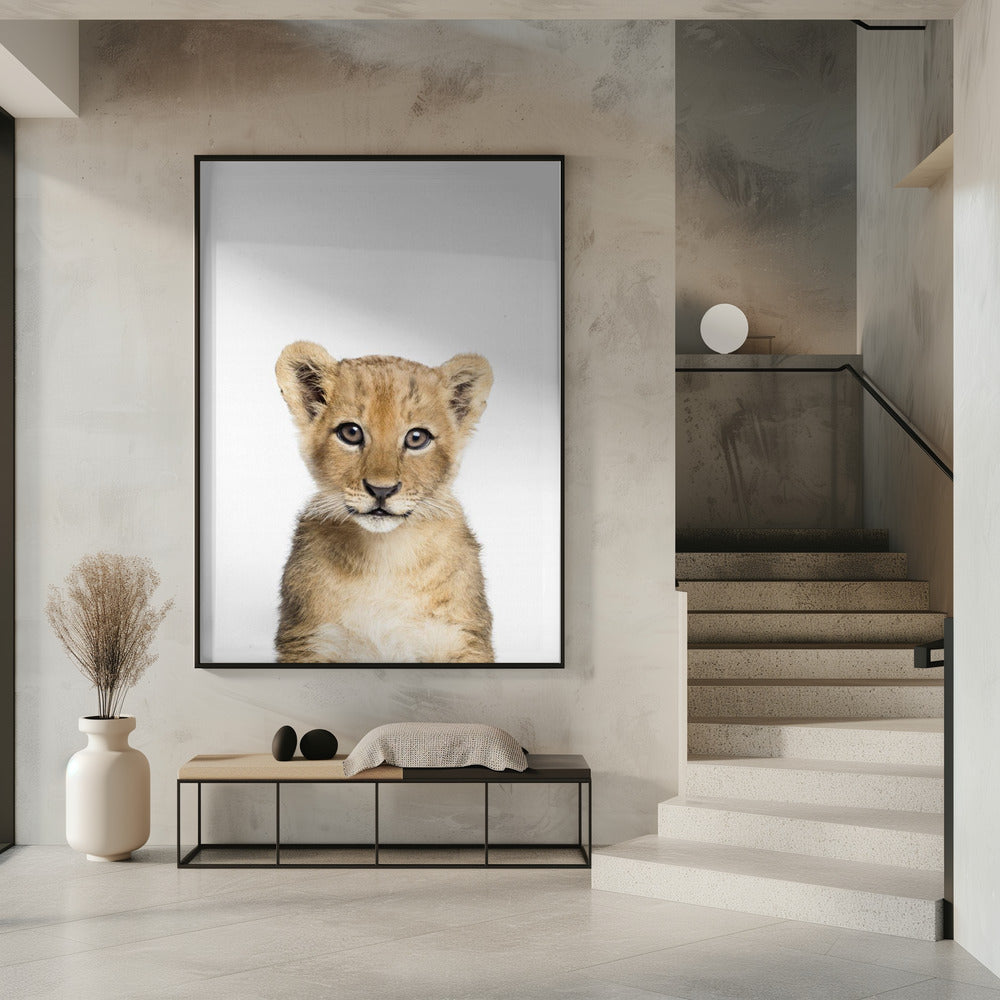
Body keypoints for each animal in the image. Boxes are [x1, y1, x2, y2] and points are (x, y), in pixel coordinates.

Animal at [274, 341, 495, 663]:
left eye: (417, 438)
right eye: (351, 433)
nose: (381, 490)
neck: (384, 557)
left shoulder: (462, 638)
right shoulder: (309, 639)